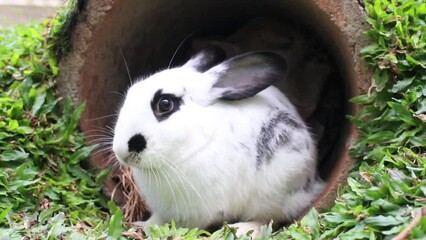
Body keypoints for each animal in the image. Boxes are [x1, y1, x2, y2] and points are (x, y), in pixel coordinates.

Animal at [111, 47, 324, 236]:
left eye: (165, 104)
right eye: (131, 92)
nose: (121, 152)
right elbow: (157, 219)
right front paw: (142, 226)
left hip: (275, 189)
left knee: (267, 218)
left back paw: (243, 230)